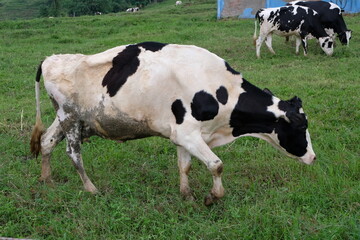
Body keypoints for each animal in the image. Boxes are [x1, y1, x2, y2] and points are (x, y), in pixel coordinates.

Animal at [31, 42, 316, 205]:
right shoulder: (189, 134)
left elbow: (184, 166)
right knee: (73, 153)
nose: (313, 157)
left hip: (69, 119)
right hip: (70, 118)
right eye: (301, 127)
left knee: (46, 141)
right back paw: (91, 189)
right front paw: (211, 197)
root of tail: (51, 59)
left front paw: (186, 195)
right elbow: (217, 165)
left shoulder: (183, 135)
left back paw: (47, 180)